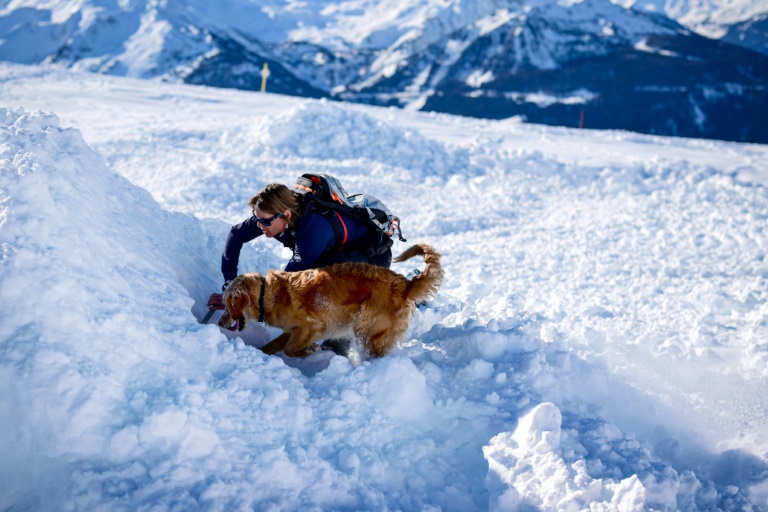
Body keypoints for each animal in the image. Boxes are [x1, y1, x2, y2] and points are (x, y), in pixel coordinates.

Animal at [219, 245, 440, 358]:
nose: (220, 323)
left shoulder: (311, 327)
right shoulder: (292, 331)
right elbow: (271, 346)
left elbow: (290, 350)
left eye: (228, 305)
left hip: (368, 329)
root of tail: (405, 283)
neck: (267, 293)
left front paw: (309, 351)